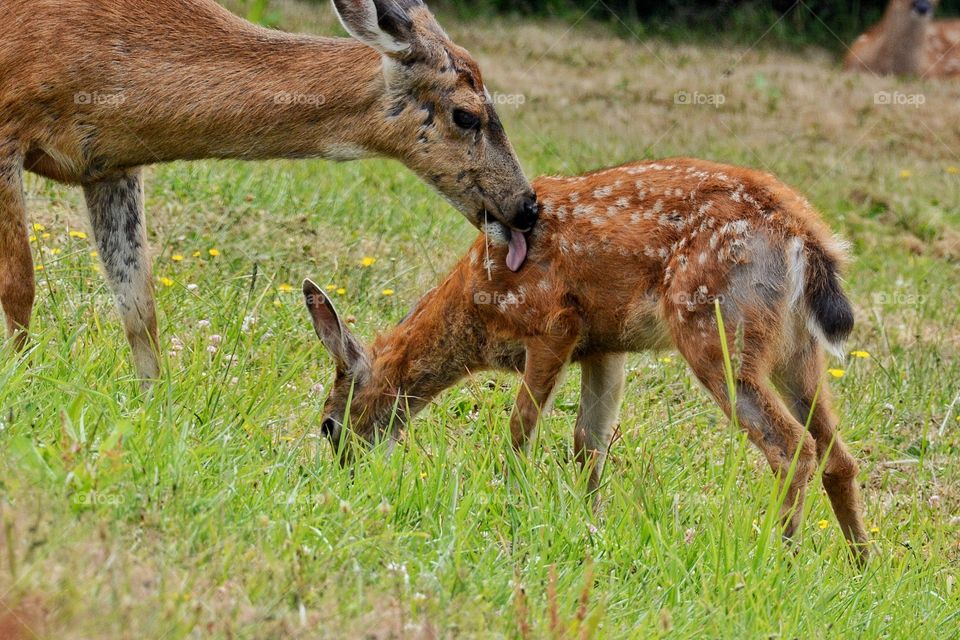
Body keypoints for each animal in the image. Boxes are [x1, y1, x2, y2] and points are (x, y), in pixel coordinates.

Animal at [0, 0, 540, 384]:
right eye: (466, 114)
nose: (527, 205)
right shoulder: (8, 124)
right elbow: (19, 282)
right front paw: (21, 380)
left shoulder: (110, 166)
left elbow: (139, 305)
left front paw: (154, 403)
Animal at [306, 159, 872, 560]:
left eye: (329, 426)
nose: (344, 477)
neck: (475, 305)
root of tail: (802, 236)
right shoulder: (605, 347)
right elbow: (588, 442)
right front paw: (588, 520)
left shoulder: (553, 322)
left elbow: (522, 428)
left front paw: (510, 501)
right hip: (797, 351)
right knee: (837, 454)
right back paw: (862, 564)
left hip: (715, 328)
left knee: (792, 446)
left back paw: (780, 555)